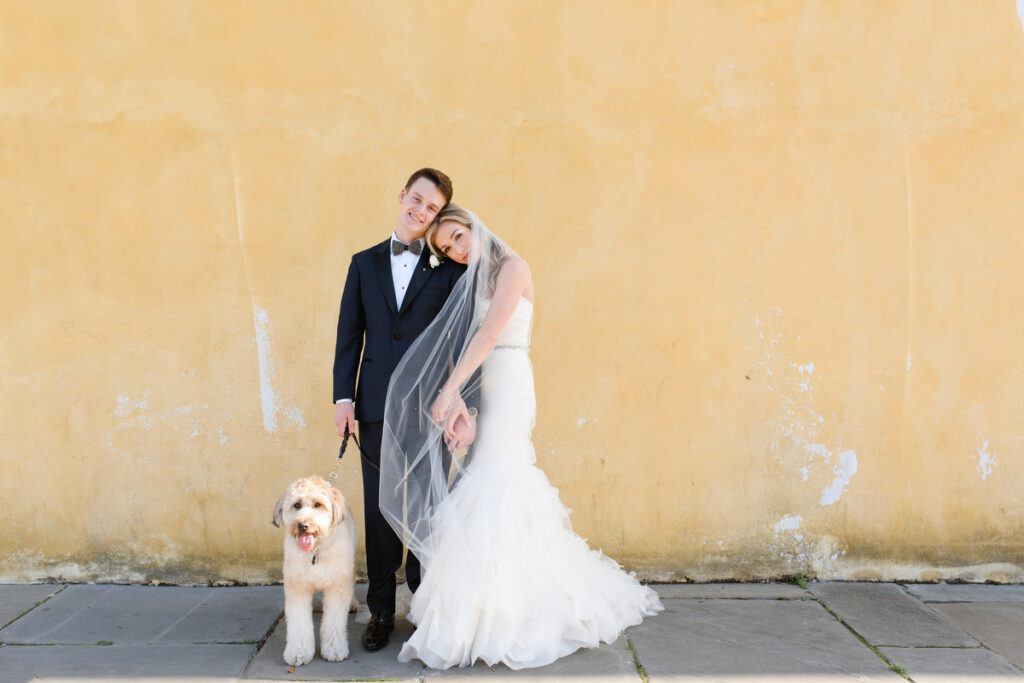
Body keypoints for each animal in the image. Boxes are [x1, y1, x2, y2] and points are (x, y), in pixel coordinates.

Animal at [272, 479, 356, 663]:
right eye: (296, 505)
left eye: (318, 504)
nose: (303, 525)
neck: (315, 551)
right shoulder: (297, 589)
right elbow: (299, 624)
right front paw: (298, 651)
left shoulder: (336, 586)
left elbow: (334, 622)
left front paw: (334, 649)